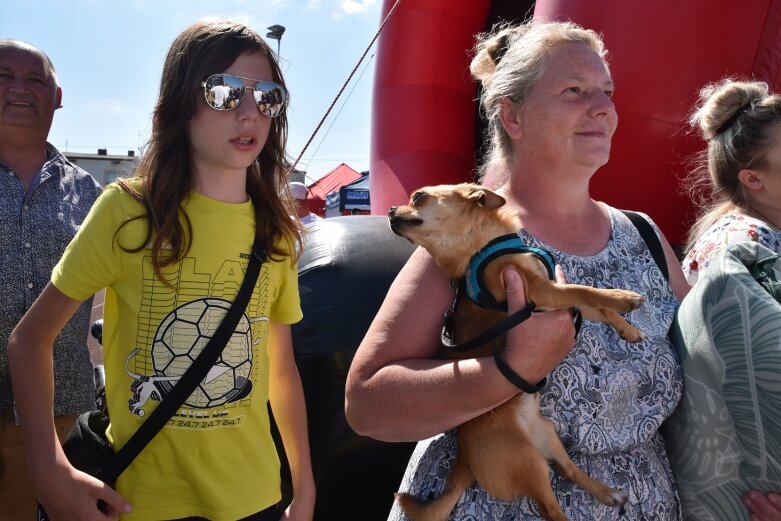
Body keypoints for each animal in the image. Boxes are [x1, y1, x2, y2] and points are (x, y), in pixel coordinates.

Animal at [386, 183, 636, 520]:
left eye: (418, 197)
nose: (389, 210)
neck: (479, 248)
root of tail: (464, 457)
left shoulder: (554, 297)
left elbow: (594, 305)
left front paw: (627, 329)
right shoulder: (542, 292)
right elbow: (584, 290)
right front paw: (623, 298)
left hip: (548, 435)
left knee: (568, 470)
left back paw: (608, 493)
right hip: (527, 462)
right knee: (549, 508)